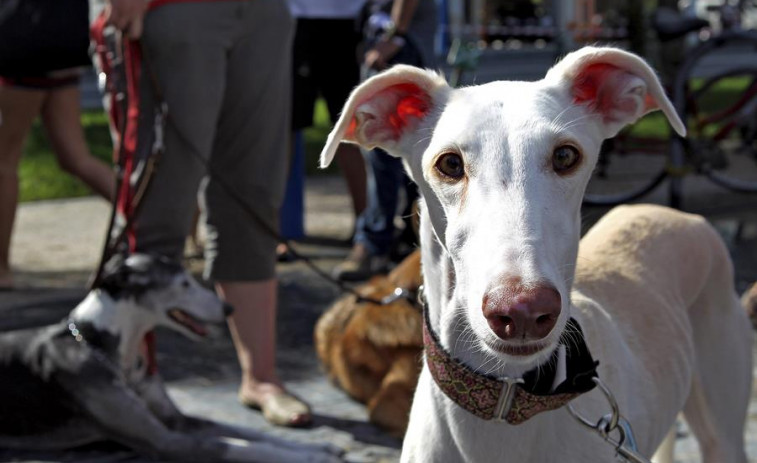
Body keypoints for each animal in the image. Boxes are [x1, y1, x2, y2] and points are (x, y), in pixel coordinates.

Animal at [0, 256, 342, 462]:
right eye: (184, 284)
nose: (229, 309)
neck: (98, 343)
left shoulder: (176, 421)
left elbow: (247, 432)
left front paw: (317, 446)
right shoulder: (165, 440)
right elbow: (239, 446)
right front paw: (311, 457)